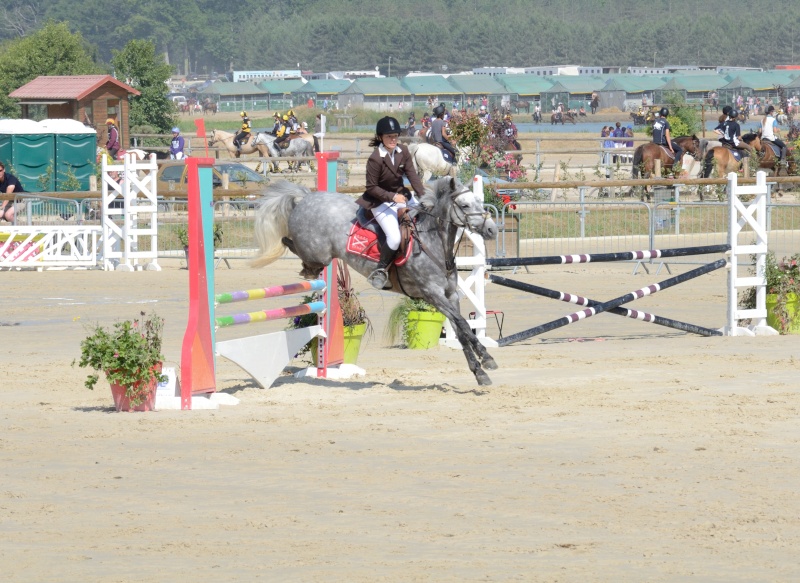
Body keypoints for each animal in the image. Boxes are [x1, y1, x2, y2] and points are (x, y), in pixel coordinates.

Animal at [253, 178, 496, 388]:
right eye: (464, 205)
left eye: (479, 202)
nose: (491, 229)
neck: (434, 243)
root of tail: (306, 197)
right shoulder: (432, 294)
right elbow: (463, 324)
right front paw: (486, 359)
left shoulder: (450, 295)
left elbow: (462, 330)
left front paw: (481, 370)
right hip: (318, 253)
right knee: (292, 244)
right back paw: (306, 269)